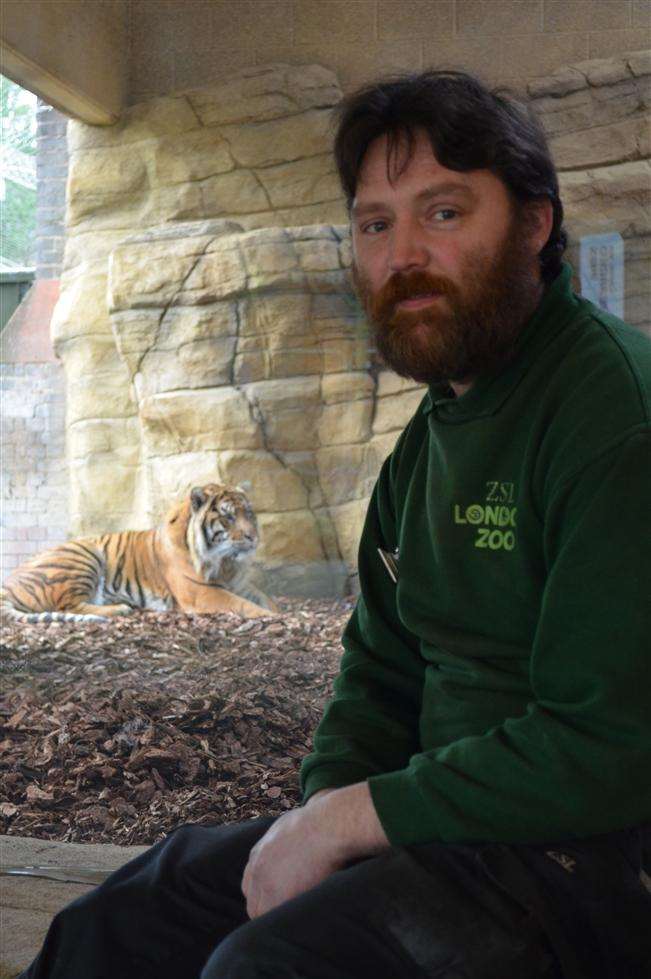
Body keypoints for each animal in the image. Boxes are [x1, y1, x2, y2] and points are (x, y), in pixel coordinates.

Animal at [0, 484, 278, 628]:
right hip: (82, 556)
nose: (253, 537)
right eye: (228, 516)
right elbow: (243, 605)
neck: (225, 563)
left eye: (248, 514)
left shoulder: (240, 585)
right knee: (66, 604)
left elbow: (267, 599)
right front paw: (276, 618)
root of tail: (7, 583)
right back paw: (120, 609)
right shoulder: (200, 592)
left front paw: (281, 610)